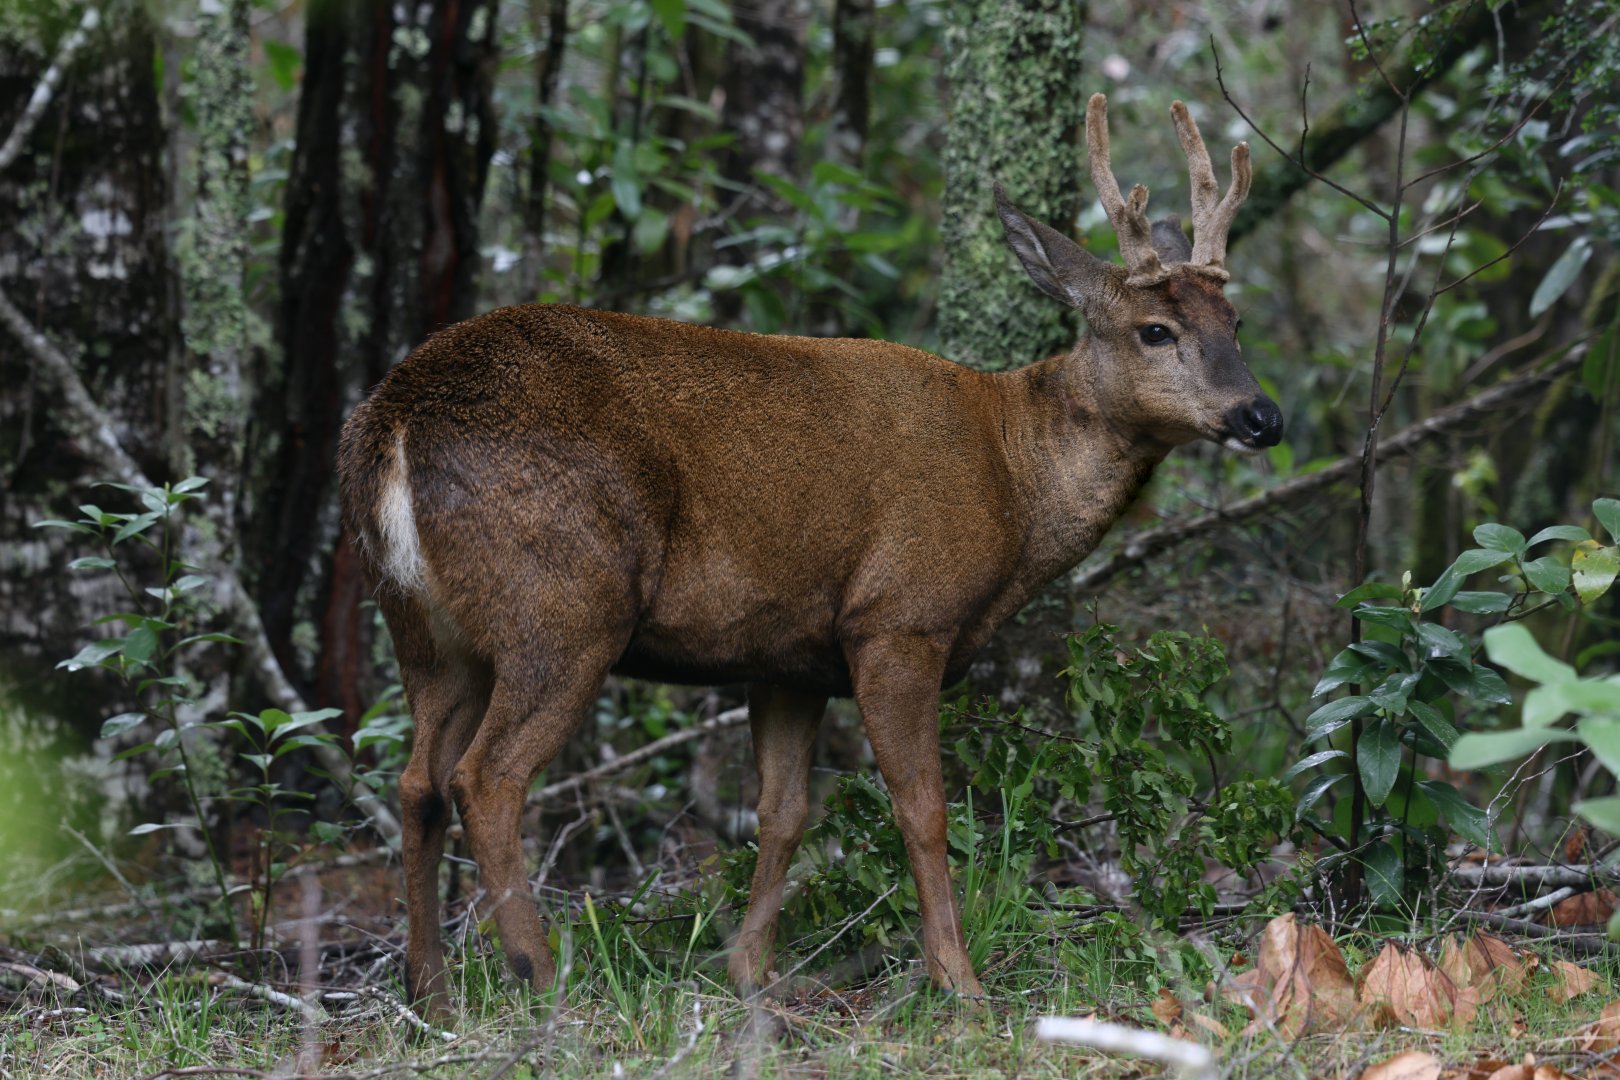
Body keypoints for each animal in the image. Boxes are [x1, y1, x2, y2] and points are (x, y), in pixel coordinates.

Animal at [336, 93, 1280, 1008]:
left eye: (1236, 320)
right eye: (1155, 329)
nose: (1262, 415)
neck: (1013, 476)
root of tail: (395, 421)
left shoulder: (787, 655)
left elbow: (782, 812)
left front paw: (749, 972)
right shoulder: (897, 616)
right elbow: (923, 808)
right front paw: (960, 982)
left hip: (424, 625)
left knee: (417, 784)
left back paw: (430, 992)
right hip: (564, 603)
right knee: (486, 780)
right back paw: (540, 982)